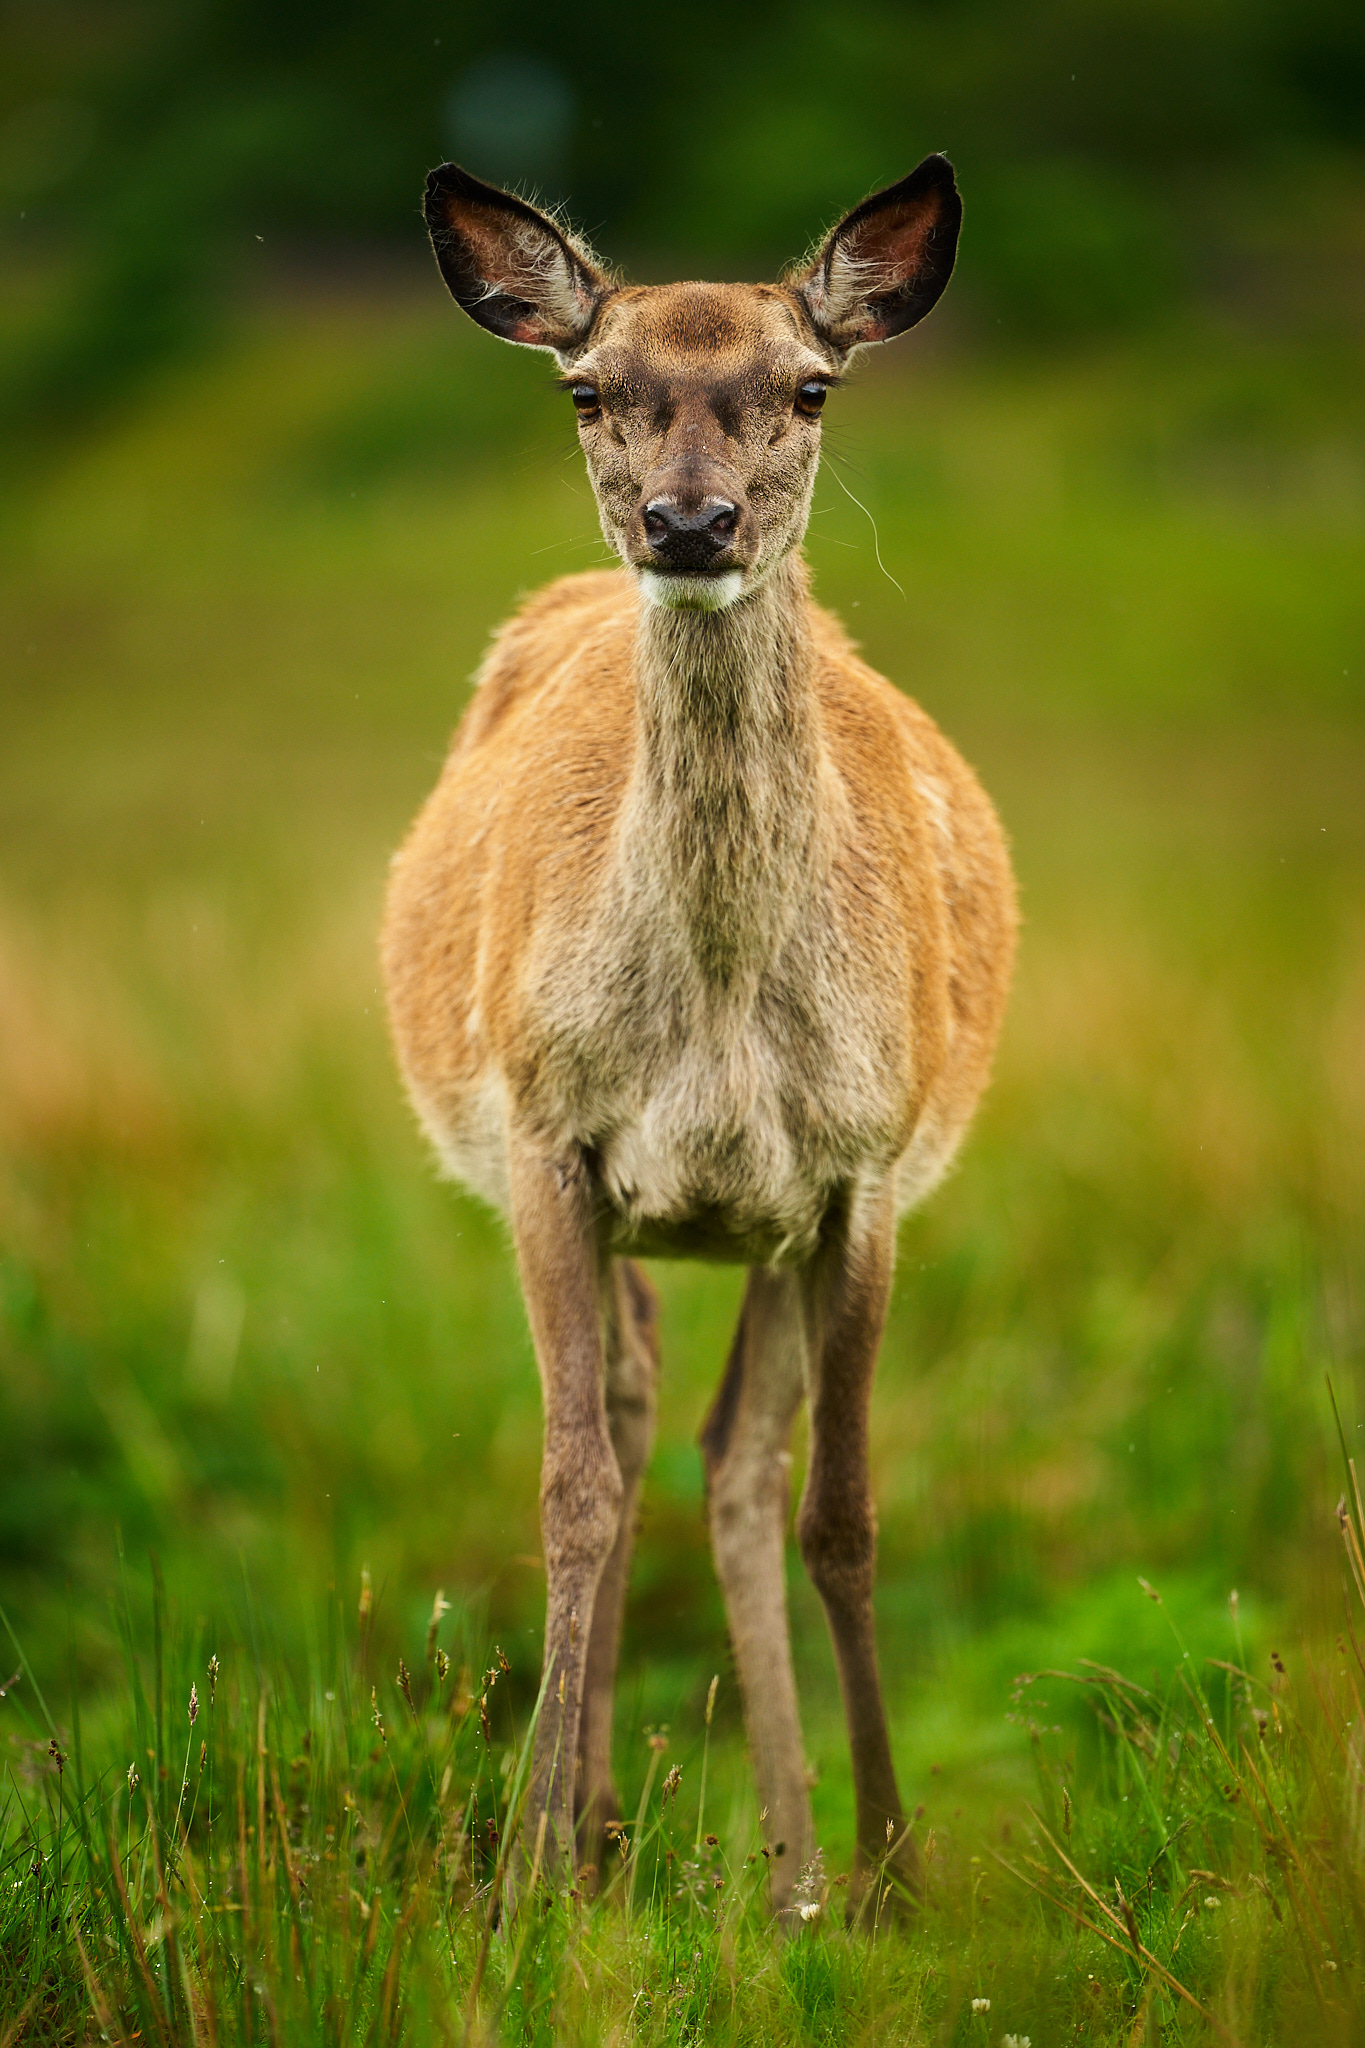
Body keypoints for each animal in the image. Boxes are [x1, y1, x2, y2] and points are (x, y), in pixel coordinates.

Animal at [382, 152, 1016, 1919]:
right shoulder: (549, 1136)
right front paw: (524, 1877)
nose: (686, 522)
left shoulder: (861, 1171)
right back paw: (600, 1832)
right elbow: (571, 1492)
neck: (721, 1020)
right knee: (633, 1421)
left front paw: (891, 1871)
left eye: (808, 386)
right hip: (616, 1210)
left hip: (768, 1228)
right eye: (588, 391)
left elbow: (841, 1512)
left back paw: (792, 1866)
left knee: (733, 1460)